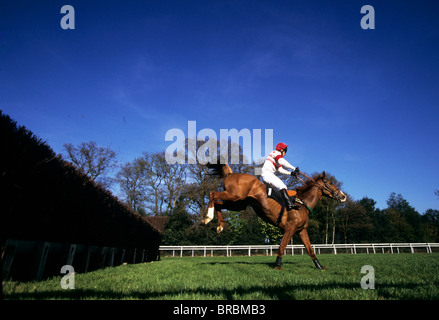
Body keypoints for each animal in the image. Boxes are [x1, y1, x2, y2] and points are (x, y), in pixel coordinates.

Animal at [203, 164, 348, 268]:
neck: (302, 202)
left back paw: (220, 226)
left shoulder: (301, 230)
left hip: (238, 203)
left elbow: (310, 249)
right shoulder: (290, 228)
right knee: (212, 194)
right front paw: (277, 265)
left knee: (218, 204)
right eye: (330, 183)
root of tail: (231, 173)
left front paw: (319, 266)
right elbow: (282, 247)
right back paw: (208, 217)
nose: (343, 196)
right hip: (235, 196)